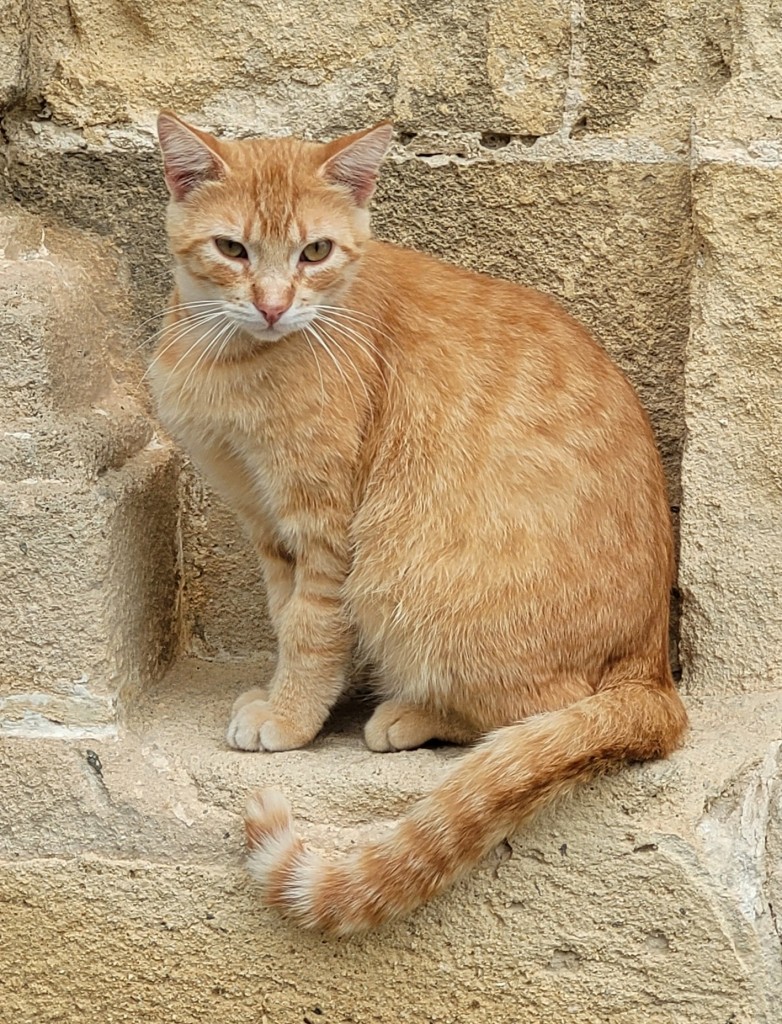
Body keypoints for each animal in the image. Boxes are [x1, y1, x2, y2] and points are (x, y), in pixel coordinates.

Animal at [151, 112, 683, 937]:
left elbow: (310, 629)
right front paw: (283, 696)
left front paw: (292, 717)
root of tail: (656, 672)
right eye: (232, 249)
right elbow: (283, 615)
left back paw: (412, 715)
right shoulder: (265, 521)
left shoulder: (326, 523)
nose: (272, 304)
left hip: (409, 580)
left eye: (314, 252)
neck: (236, 360)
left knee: (544, 718)